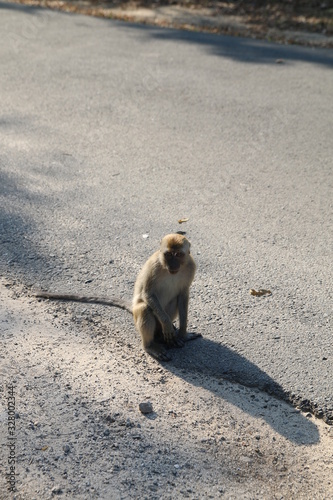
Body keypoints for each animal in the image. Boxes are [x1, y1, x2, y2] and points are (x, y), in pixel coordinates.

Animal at [36, 234, 200, 360]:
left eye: (178, 255)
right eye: (168, 255)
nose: (173, 265)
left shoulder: (191, 266)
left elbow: (183, 295)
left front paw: (183, 334)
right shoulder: (154, 266)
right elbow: (147, 294)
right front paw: (167, 325)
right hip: (138, 317)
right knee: (144, 308)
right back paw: (150, 345)